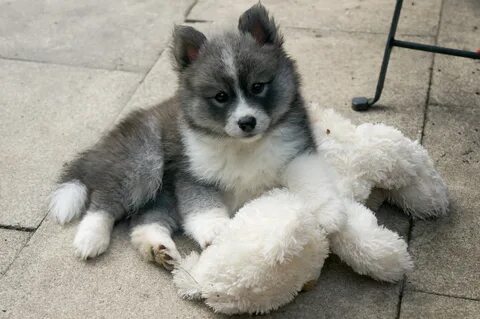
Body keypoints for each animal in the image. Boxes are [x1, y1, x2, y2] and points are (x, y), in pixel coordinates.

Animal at [47, 3, 316, 270]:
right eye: (220, 96)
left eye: (257, 87)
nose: (247, 122)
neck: (242, 146)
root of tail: (102, 146)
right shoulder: (192, 175)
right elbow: (203, 207)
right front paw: (219, 232)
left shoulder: (294, 157)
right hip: (142, 160)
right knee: (104, 200)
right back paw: (90, 238)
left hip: (160, 193)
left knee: (145, 219)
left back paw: (158, 249)